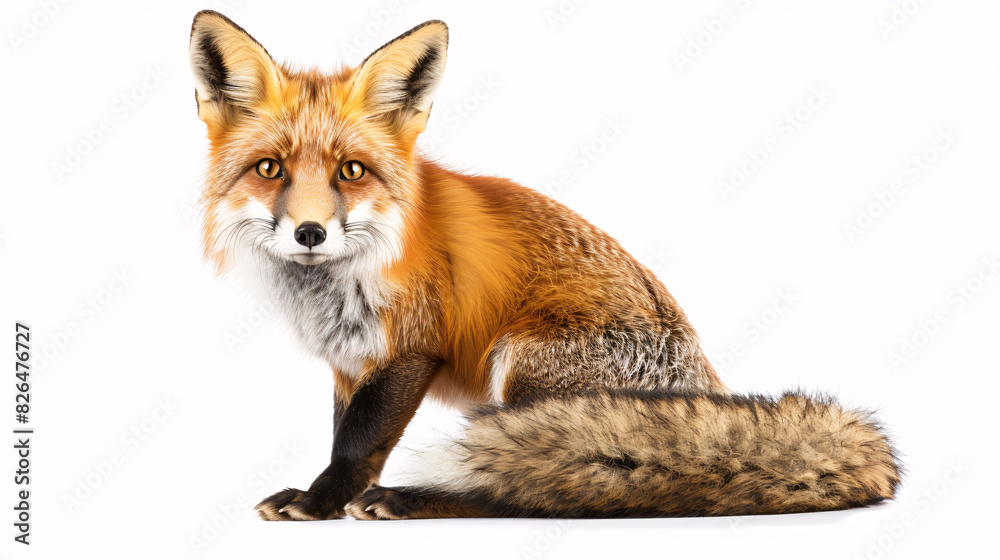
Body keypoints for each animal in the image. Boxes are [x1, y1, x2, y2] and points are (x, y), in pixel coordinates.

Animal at [188, 10, 900, 520]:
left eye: (351, 172)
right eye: (270, 169)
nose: (309, 233)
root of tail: (705, 387)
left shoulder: (410, 347)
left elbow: (358, 440)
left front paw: (321, 501)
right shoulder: (351, 359)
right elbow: (349, 434)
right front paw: (330, 497)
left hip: (521, 367)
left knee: (543, 486)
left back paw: (422, 500)